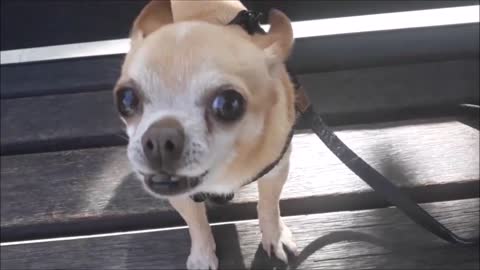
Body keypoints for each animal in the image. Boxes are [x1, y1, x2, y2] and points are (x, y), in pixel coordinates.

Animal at [114, 1, 298, 268]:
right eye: (125, 99)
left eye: (228, 104)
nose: (159, 139)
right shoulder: (181, 197)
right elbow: (196, 222)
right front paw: (203, 254)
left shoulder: (275, 171)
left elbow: (269, 206)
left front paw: (275, 236)